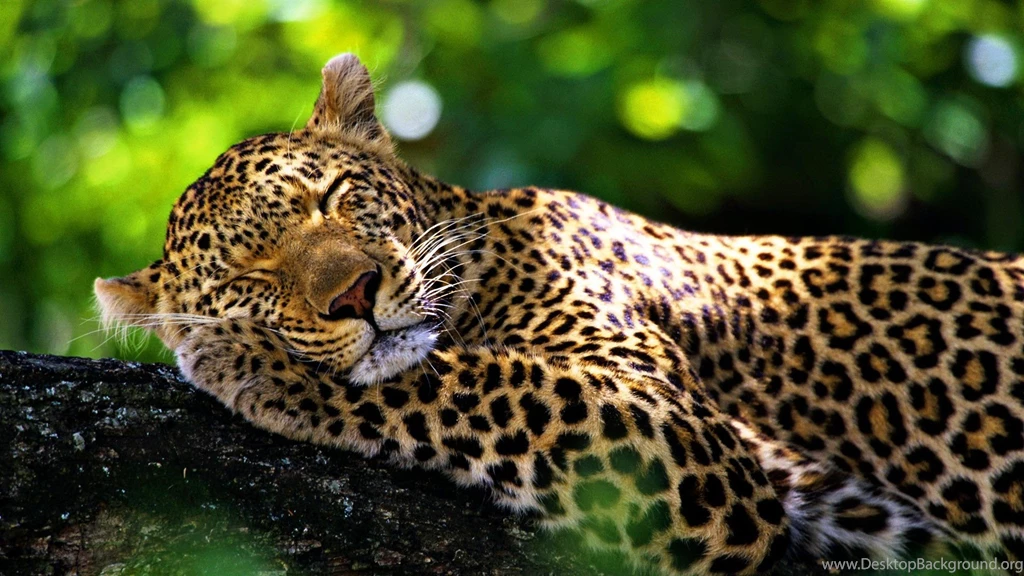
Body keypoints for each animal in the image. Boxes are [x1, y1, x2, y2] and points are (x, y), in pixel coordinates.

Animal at [94, 53, 1024, 575]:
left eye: (333, 196)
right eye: (250, 273)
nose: (353, 294)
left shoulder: (683, 440)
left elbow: (474, 383)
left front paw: (246, 363)